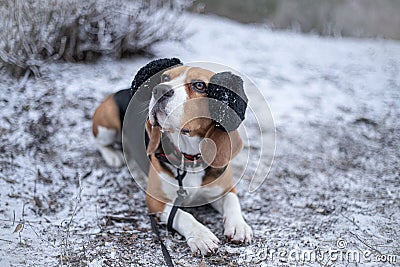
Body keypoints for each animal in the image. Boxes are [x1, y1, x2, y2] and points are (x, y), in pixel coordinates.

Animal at [92, 58, 252, 255]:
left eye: (199, 85)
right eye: (165, 77)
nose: (159, 89)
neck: (190, 158)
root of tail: (119, 91)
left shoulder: (226, 189)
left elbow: (232, 201)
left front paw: (239, 226)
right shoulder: (155, 201)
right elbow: (183, 216)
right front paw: (201, 236)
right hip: (107, 124)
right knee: (99, 142)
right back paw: (113, 156)